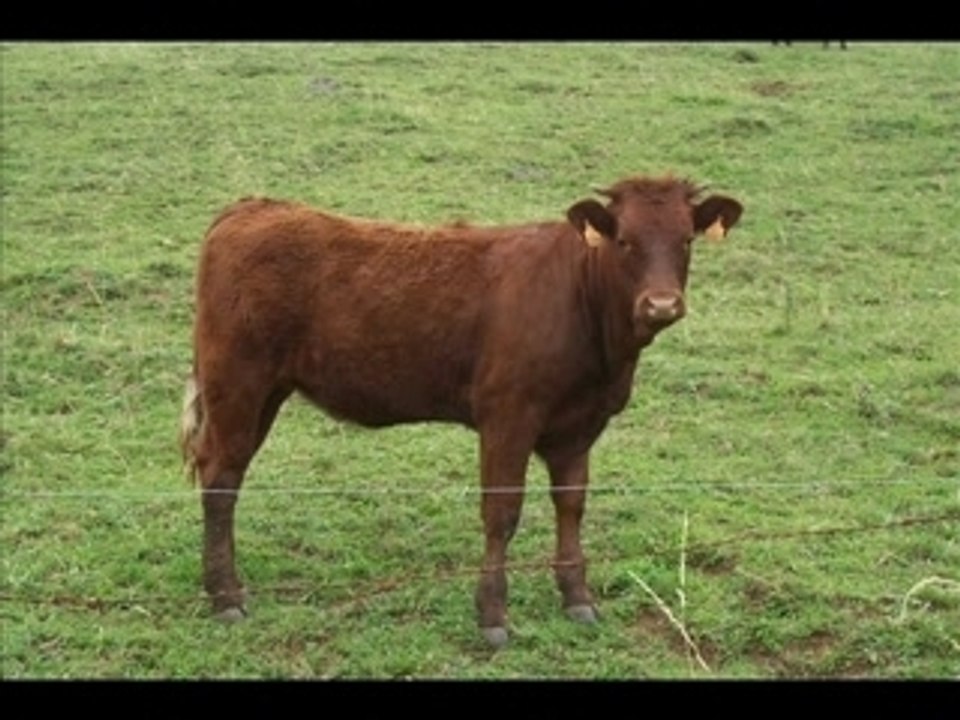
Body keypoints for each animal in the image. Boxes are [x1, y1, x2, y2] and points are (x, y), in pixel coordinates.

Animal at [179, 175, 744, 648]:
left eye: (686, 240)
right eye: (623, 241)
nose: (661, 304)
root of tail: (252, 207)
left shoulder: (580, 425)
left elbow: (571, 505)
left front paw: (577, 599)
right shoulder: (507, 416)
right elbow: (502, 513)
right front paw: (492, 617)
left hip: (263, 393)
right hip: (237, 383)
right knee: (221, 477)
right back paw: (226, 598)